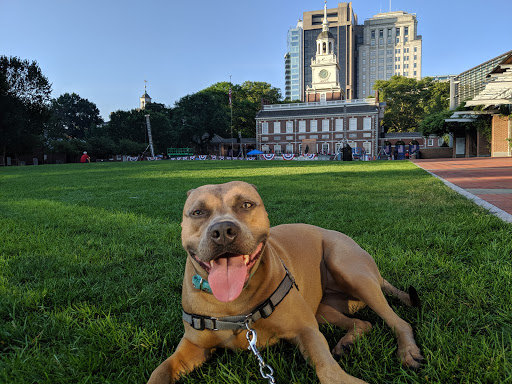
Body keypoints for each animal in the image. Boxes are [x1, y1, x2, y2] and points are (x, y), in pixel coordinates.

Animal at [148, 182, 424, 382]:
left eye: (246, 204)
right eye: (198, 212)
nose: (224, 231)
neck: (236, 307)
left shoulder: (306, 330)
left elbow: (328, 370)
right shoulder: (192, 347)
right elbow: (159, 371)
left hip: (350, 270)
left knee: (399, 322)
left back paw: (408, 352)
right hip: (323, 309)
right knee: (363, 323)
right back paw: (346, 343)